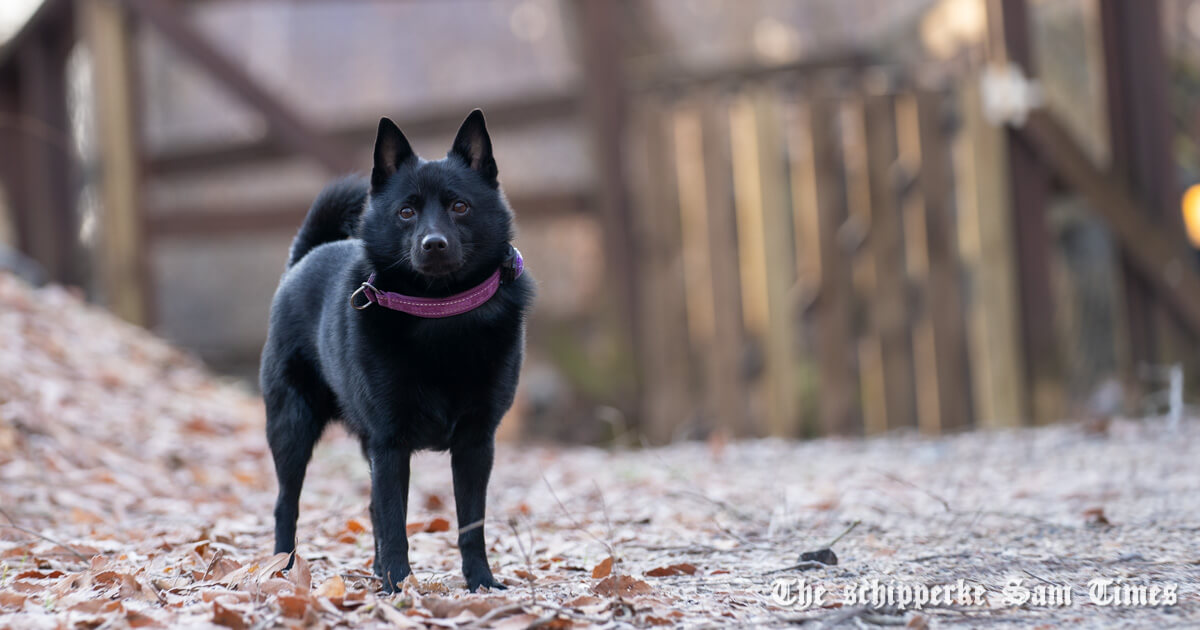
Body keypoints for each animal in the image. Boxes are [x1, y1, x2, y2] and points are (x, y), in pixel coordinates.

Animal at [262, 109, 535, 590]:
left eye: (460, 206)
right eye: (406, 212)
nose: (434, 243)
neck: (440, 313)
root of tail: (306, 255)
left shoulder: (475, 444)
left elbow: (471, 523)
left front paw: (481, 581)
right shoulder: (390, 445)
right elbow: (393, 521)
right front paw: (397, 586)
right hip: (291, 426)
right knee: (286, 505)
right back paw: (283, 567)